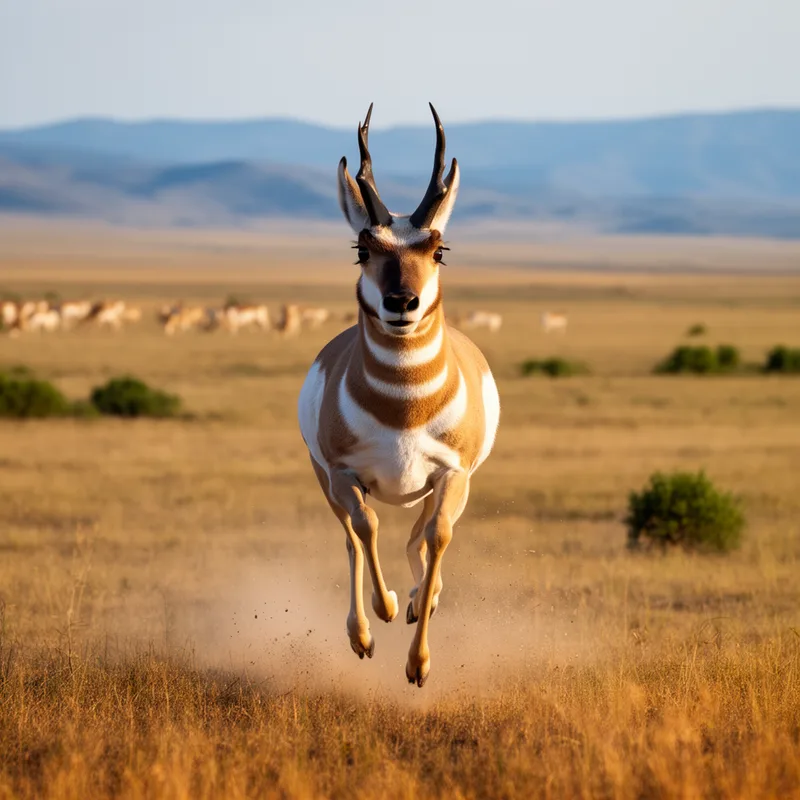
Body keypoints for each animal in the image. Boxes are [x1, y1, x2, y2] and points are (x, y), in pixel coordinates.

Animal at [298, 104, 500, 687]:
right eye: (363, 248)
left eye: (439, 249)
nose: (402, 303)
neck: (404, 408)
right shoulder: (345, 476)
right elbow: (365, 527)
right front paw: (383, 609)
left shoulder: (451, 476)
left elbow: (436, 540)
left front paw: (419, 660)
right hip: (328, 483)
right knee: (352, 536)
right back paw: (367, 630)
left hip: (437, 489)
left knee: (421, 536)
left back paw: (419, 602)